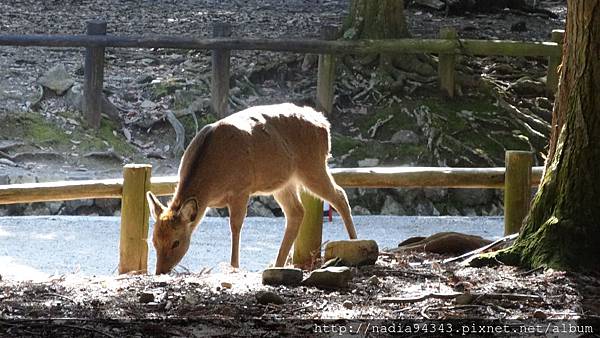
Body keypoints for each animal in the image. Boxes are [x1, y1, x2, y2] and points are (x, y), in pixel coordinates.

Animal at [148, 103, 358, 274]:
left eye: (176, 242)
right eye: (154, 240)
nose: (160, 271)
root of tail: (324, 124)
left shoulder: (241, 189)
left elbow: (235, 226)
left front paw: (234, 266)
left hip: (313, 165)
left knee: (340, 195)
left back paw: (354, 242)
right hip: (284, 182)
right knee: (297, 211)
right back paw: (278, 264)